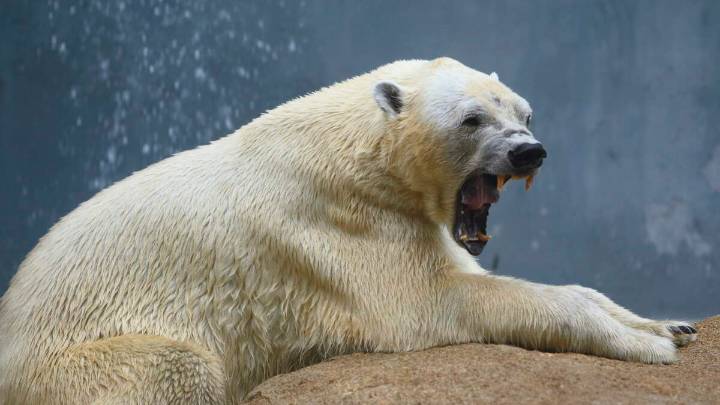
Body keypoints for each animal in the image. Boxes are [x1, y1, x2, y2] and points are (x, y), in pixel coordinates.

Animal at [0, 57, 697, 404]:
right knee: (177, 368)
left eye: (525, 112)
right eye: (472, 118)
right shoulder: (339, 225)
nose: (529, 151)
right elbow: (434, 302)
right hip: (67, 364)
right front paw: (644, 345)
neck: (354, 152)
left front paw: (670, 325)